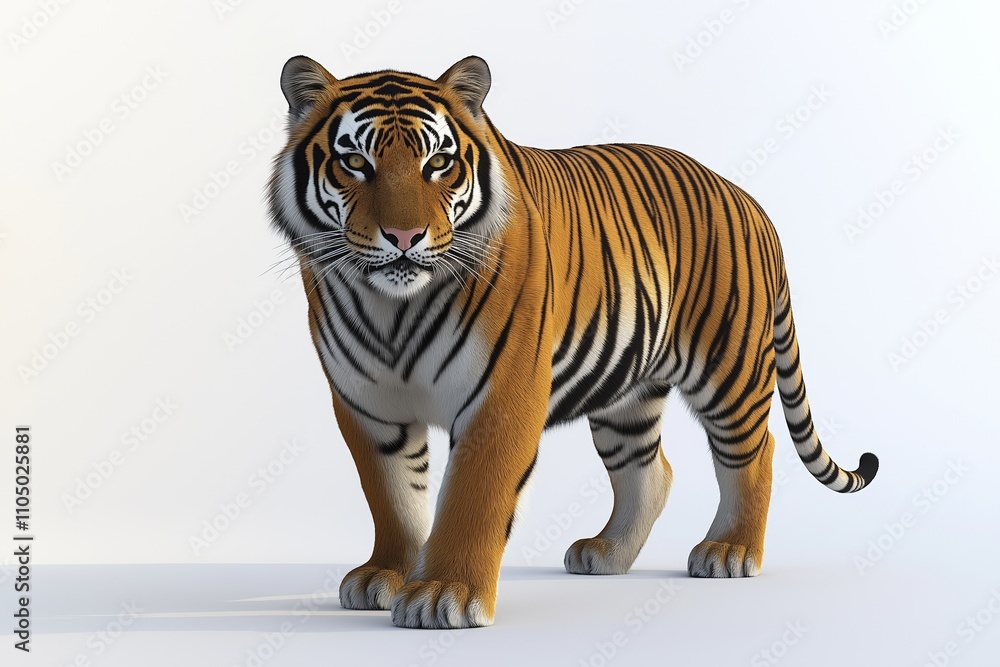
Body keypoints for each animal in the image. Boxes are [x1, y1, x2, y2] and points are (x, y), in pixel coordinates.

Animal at [267, 54, 878, 629]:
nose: (403, 236)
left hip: (728, 369)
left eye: (438, 163)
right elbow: (392, 496)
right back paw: (606, 554)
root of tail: (749, 200)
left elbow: (473, 496)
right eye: (355, 162)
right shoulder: (367, 405)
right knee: (651, 472)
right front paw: (387, 575)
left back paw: (730, 550)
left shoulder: (500, 395)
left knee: (755, 451)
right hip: (626, 396)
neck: (392, 309)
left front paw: (444, 594)